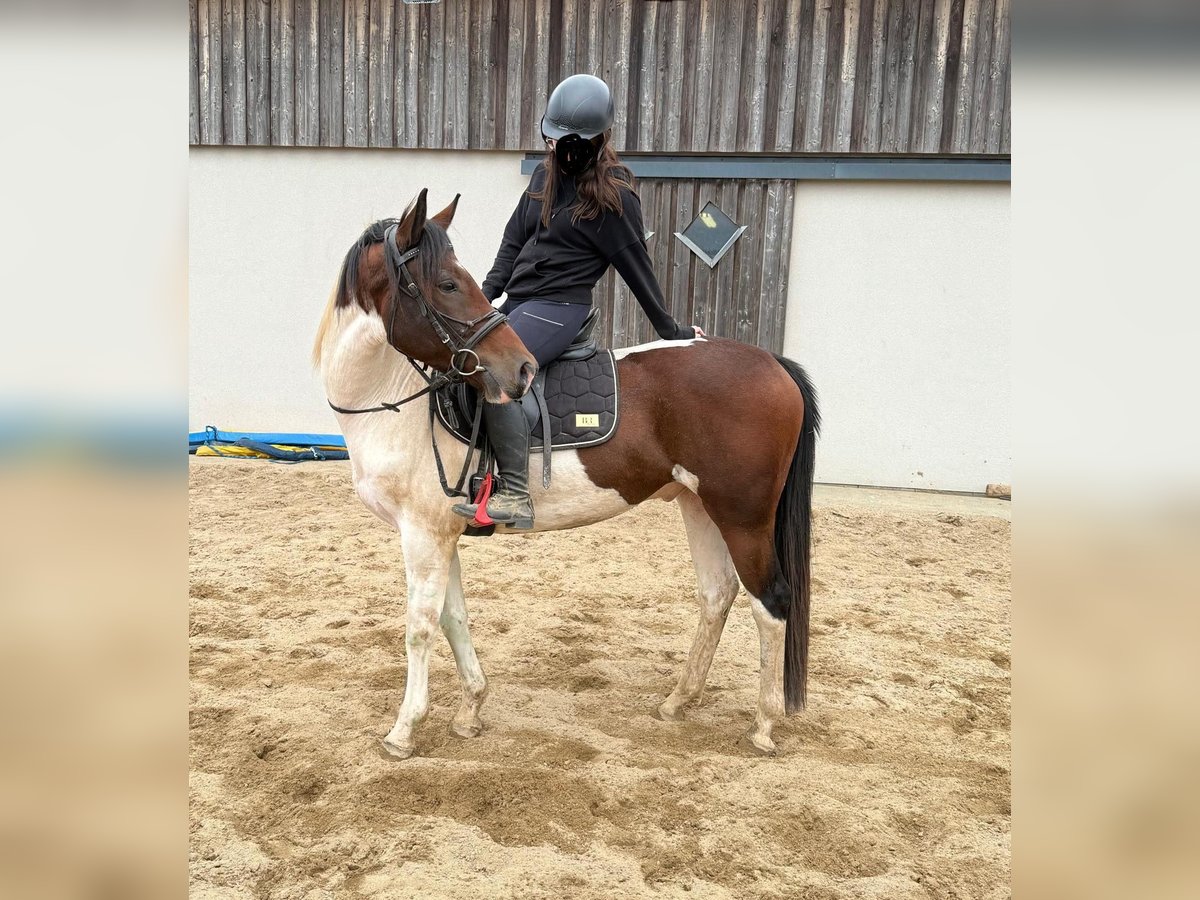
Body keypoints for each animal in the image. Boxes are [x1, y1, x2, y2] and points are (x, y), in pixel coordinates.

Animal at [313, 189, 820, 759]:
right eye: (447, 283)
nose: (521, 369)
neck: (395, 402)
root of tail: (773, 362)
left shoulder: (421, 533)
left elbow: (419, 627)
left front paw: (403, 730)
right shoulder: (443, 533)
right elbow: (452, 616)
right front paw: (470, 710)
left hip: (744, 516)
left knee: (771, 602)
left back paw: (764, 723)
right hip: (700, 505)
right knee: (717, 594)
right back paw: (677, 702)